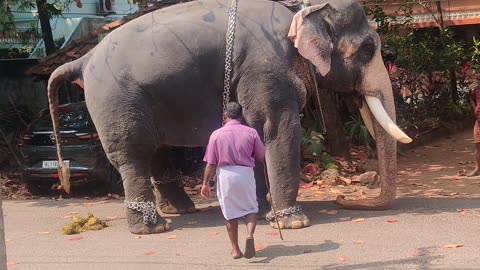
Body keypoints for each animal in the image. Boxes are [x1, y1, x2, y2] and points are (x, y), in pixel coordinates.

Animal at [46, 0, 412, 234]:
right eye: (368, 49)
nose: (343, 197)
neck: (301, 11)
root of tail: (84, 59)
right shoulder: (265, 67)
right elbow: (276, 127)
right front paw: (293, 223)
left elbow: (256, 131)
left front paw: (262, 212)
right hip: (117, 99)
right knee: (133, 153)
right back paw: (152, 228)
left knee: (157, 151)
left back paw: (180, 210)